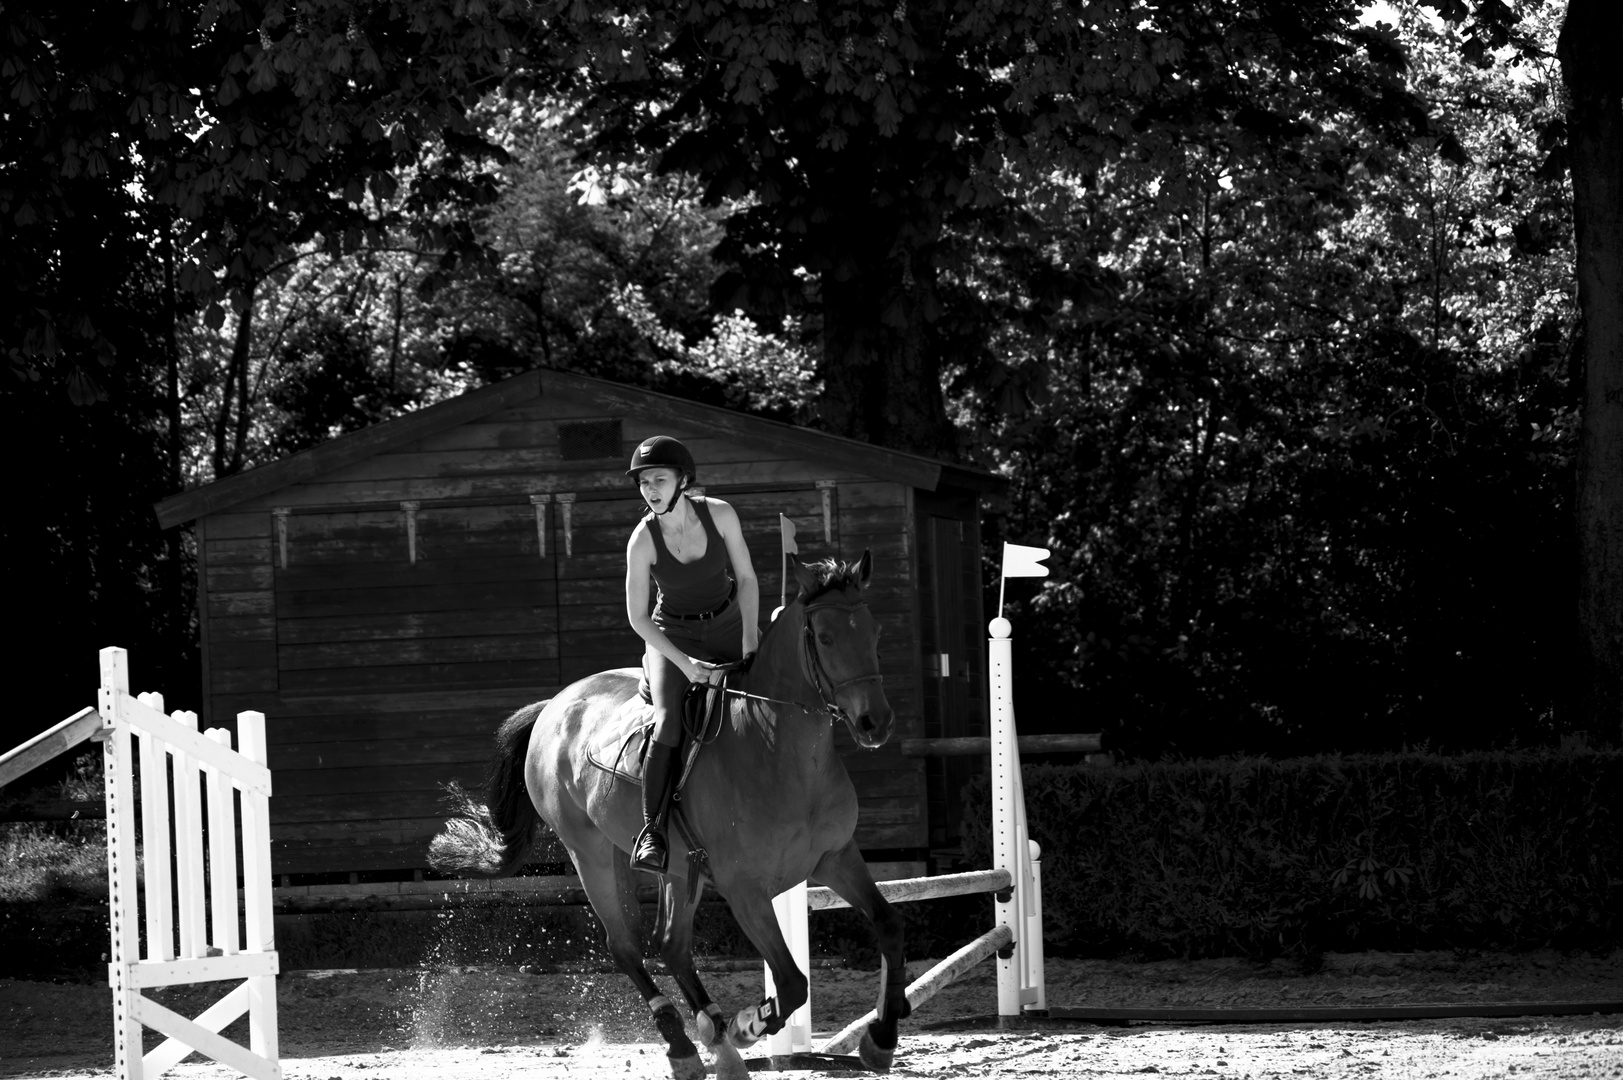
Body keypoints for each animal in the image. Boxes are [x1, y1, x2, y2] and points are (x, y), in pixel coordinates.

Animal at [431, 552, 908, 1071]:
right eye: (825, 637)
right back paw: (685, 1041)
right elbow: (790, 982)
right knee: (626, 945)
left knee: (671, 944)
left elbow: (888, 925)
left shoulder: (836, 858)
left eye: (875, 632)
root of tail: (555, 704)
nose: (875, 723)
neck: (778, 750)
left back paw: (712, 1031)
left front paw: (881, 1038)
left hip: (680, 866)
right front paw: (748, 1025)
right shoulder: (746, 889)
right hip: (591, 853)